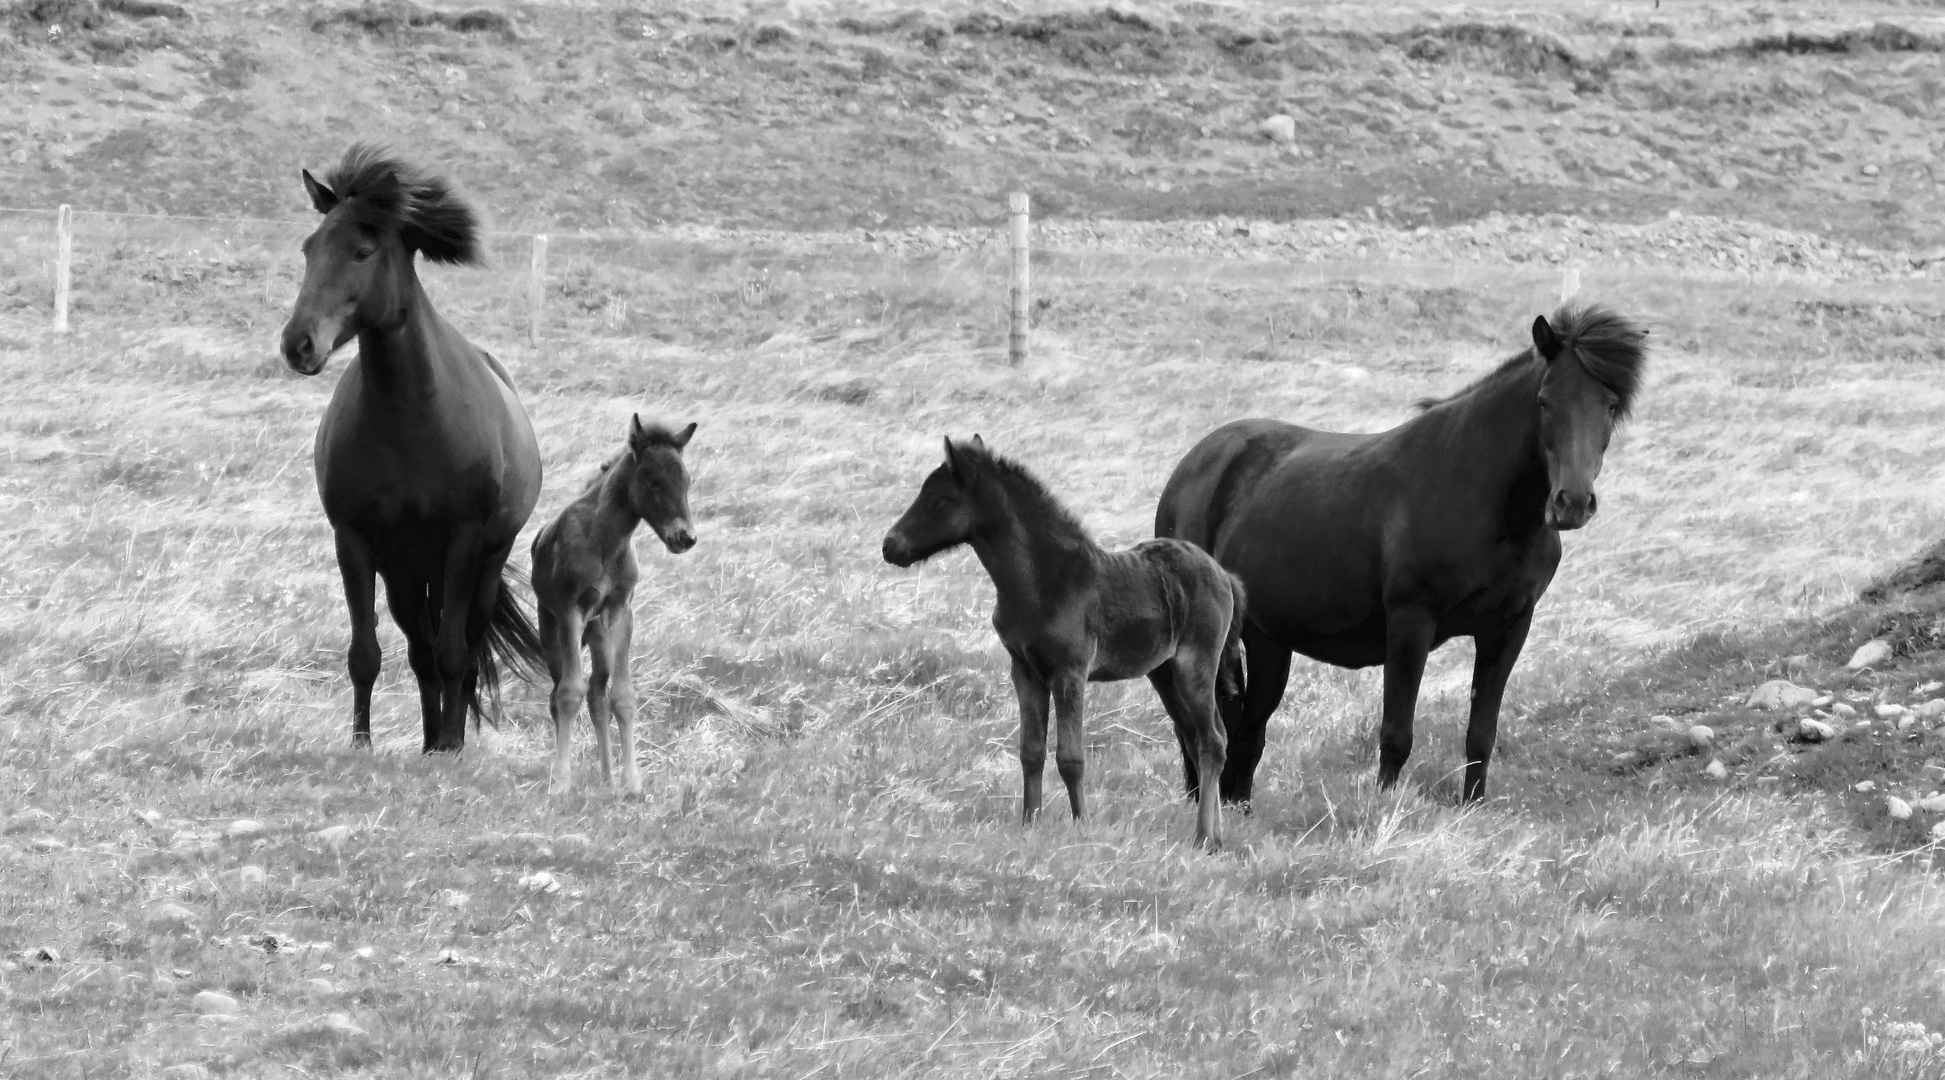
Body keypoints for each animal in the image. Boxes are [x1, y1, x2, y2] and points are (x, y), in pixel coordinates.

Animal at [532, 418, 700, 797]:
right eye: (653, 480)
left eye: (687, 481)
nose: (685, 538)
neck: (606, 541)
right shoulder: (569, 610)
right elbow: (568, 693)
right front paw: (561, 781)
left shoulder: (621, 612)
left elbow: (622, 697)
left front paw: (632, 782)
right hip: (552, 629)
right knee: (558, 692)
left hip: (598, 635)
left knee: (597, 695)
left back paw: (607, 776)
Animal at [883, 437, 1244, 852]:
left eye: (938, 500)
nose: (889, 546)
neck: (1042, 581)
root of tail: (1223, 574)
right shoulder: (1024, 672)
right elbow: (1031, 751)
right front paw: (1030, 825)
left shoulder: (1069, 672)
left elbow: (1071, 757)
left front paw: (1082, 828)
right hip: (1164, 674)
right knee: (1200, 737)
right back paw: (1216, 836)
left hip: (1196, 664)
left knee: (1212, 740)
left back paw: (1204, 837)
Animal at [1159, 303, 1649, 801]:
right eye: (1545, 401)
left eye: (1610, 405)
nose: (1572, 503)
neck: (1479, 495)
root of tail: (1194, 464)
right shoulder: (1411, 621)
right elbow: (1396, 734)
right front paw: (1382, 808)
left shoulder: (1509, 627)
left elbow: (1481, 734)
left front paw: (1471, 806)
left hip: (1267, 640)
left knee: (1246, 732)